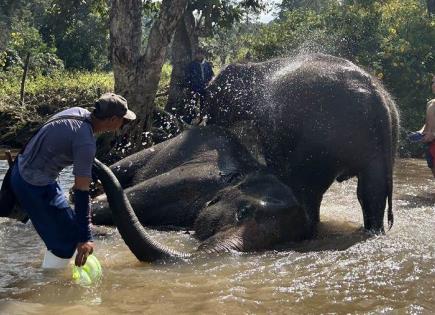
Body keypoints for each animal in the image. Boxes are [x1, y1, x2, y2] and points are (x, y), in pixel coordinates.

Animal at [203, 52, 400, 235]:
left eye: (213, 96)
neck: (254, 66)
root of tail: (377, 100)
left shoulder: (269, 118)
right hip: (379, 144)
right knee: (371, 191)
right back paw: (372, 231)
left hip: (322, 138)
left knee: (309, 188)